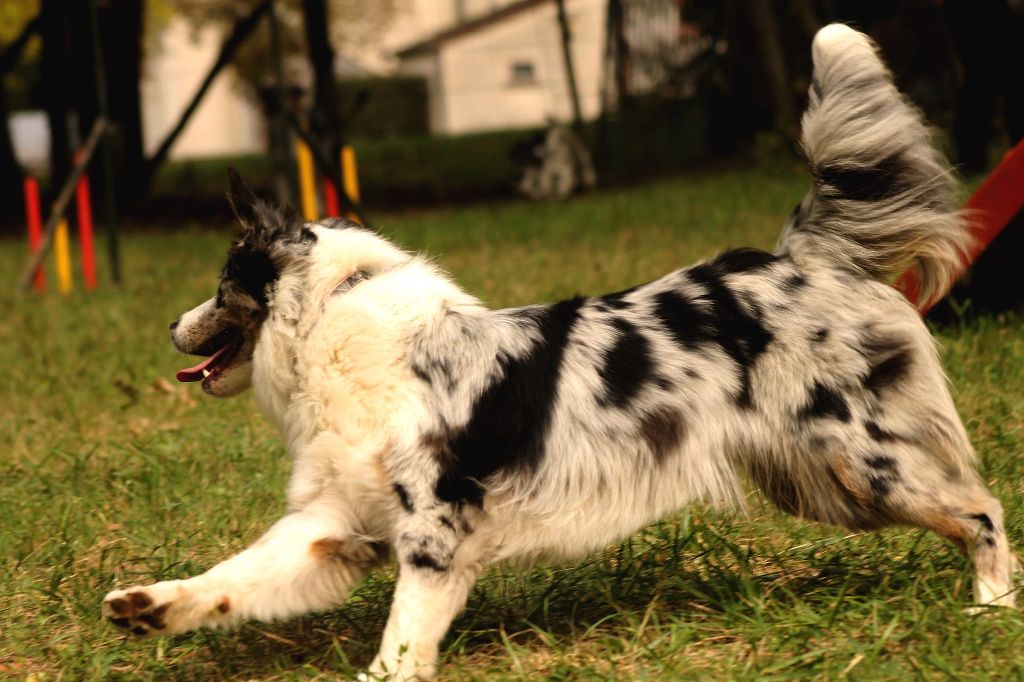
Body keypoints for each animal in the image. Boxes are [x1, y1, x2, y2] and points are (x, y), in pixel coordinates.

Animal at [101, 23, 1015, 675]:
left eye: (222, 285)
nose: (171, 326)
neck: (331, 317)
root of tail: (803, 257)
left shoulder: (434, 526)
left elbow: (402, 639)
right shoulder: (333, 525)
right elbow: (235, 578)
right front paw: (153, 605)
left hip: (865, 464)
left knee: (983, 509)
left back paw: (994, 610)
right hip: (823, 485)